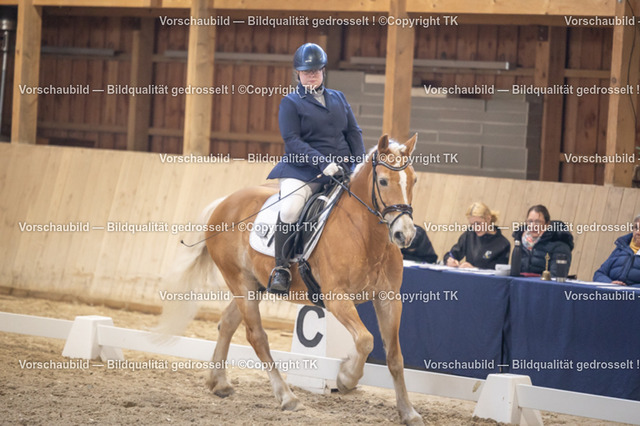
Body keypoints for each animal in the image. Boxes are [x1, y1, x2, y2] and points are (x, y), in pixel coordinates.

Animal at [160, 134, 424, 425]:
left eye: (413, 180)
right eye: (383, 181)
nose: (405, 235)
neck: (365, 235)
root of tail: (225, 202)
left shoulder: (389, 299)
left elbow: (395, 356)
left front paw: (408, 411)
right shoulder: (336, 298)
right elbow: (365, 340)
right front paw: (345, 378)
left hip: (255, 285)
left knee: (227, 324)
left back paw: (220, 383)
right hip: (240, 282)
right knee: (257, 336)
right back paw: (286, 397)